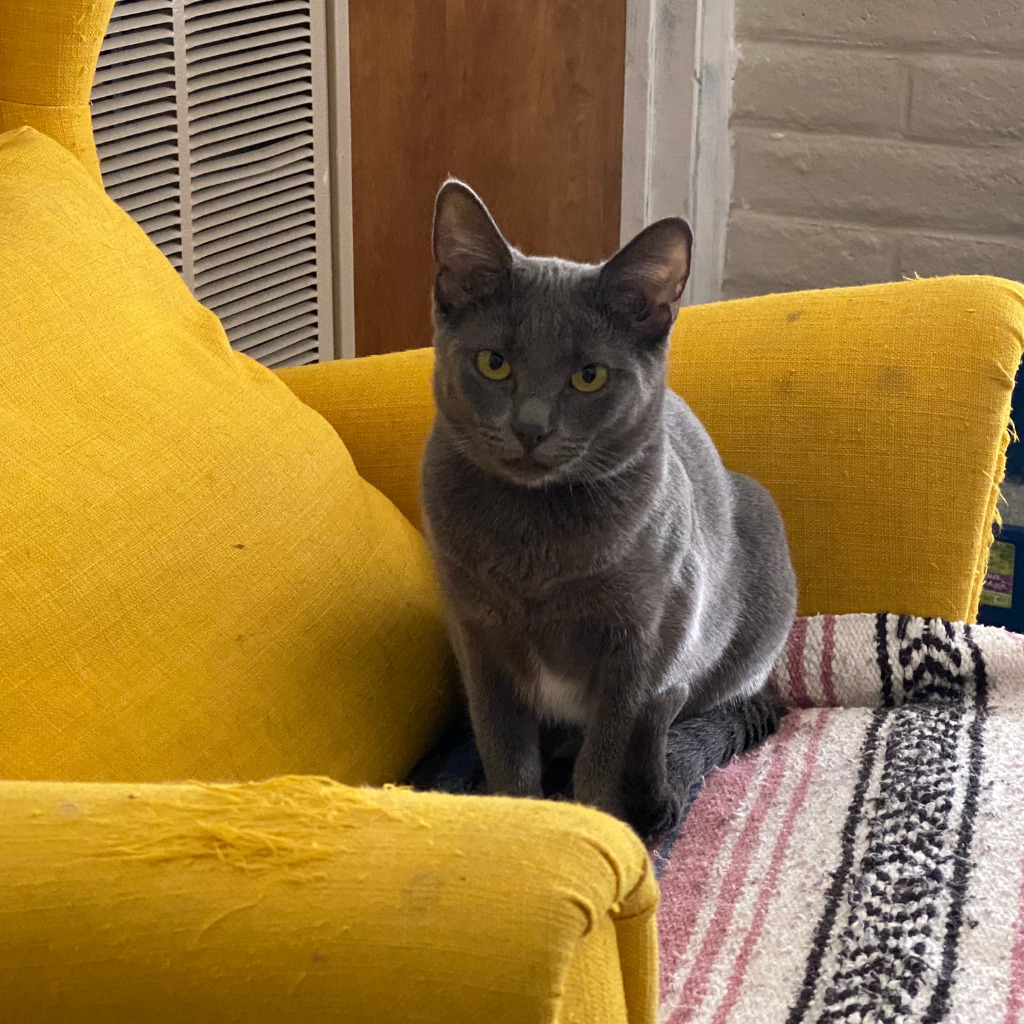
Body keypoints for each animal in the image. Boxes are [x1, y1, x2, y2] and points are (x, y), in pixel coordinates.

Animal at [419, 180, 794, 843]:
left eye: (589, 376)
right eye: (494, 363)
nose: (531, 428)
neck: (535, 542)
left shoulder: (637, 645)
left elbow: (605, 754)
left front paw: (598, 828)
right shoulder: (478, 640)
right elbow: (505, 749)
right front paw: (517, 821)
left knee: (667, 711)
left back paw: (655, 798)